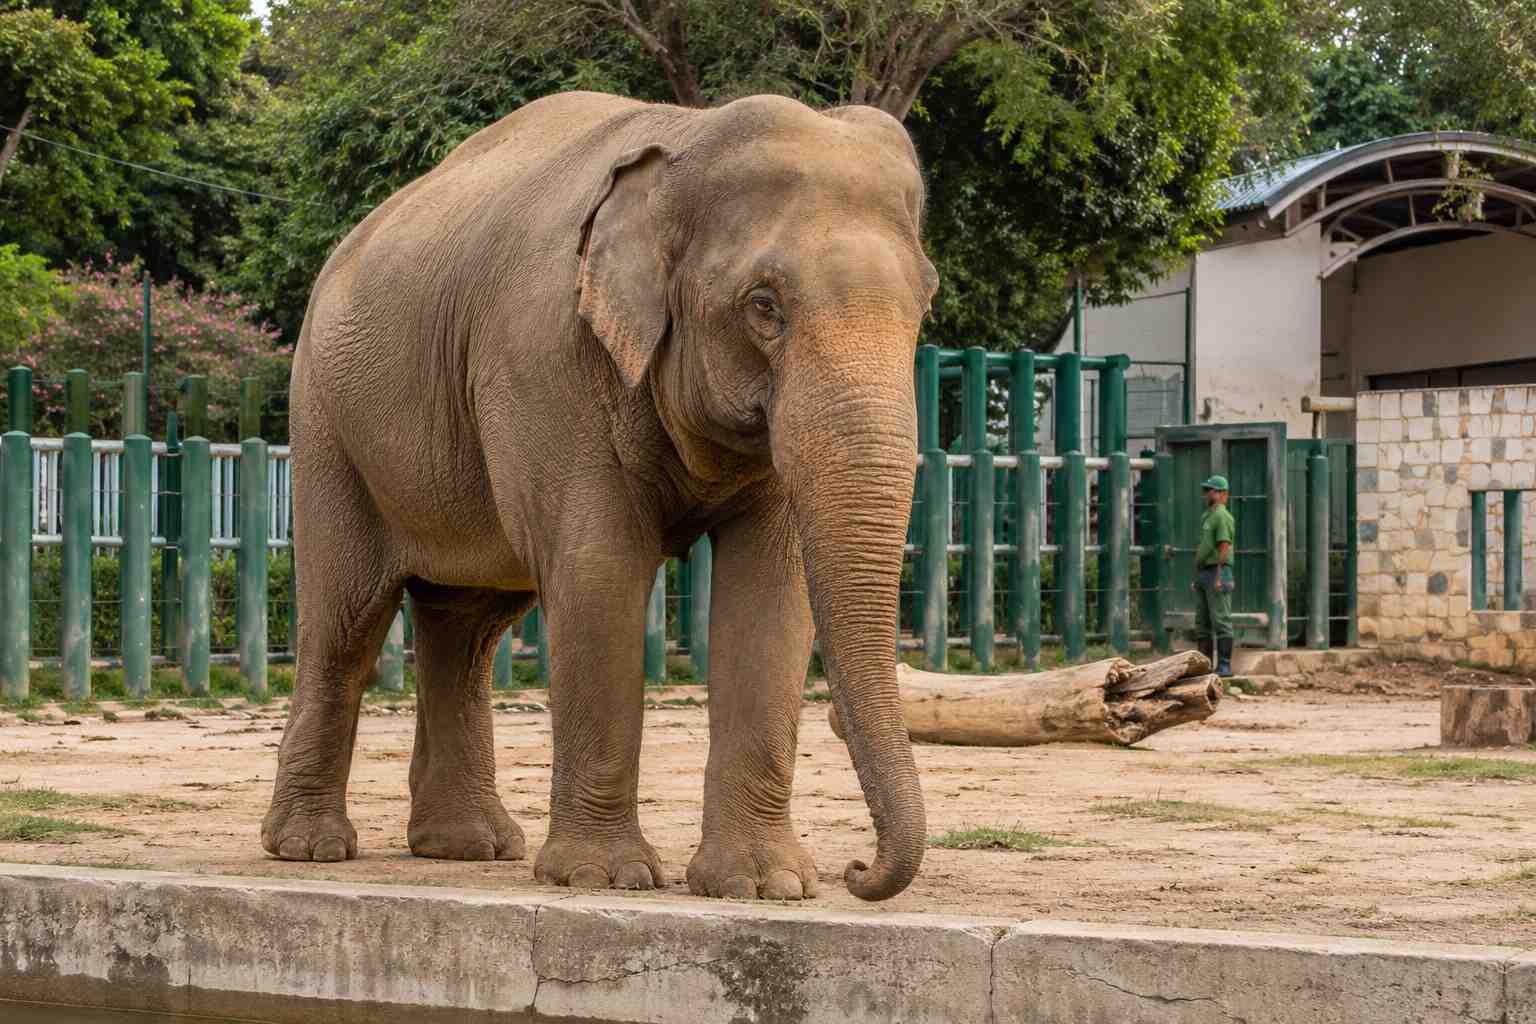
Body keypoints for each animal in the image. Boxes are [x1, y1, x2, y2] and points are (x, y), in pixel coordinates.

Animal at [261, 90, 938, 902]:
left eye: (926, 303)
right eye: (763, 305)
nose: (858, 869)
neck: (684, 142)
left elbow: (771, 590)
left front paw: (764, 886)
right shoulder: (545, 359)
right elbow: (598, 569)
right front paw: (605, 877)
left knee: (467, 626)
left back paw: (467, 847)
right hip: (326, 425)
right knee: (347, 620)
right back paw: (310, 849)